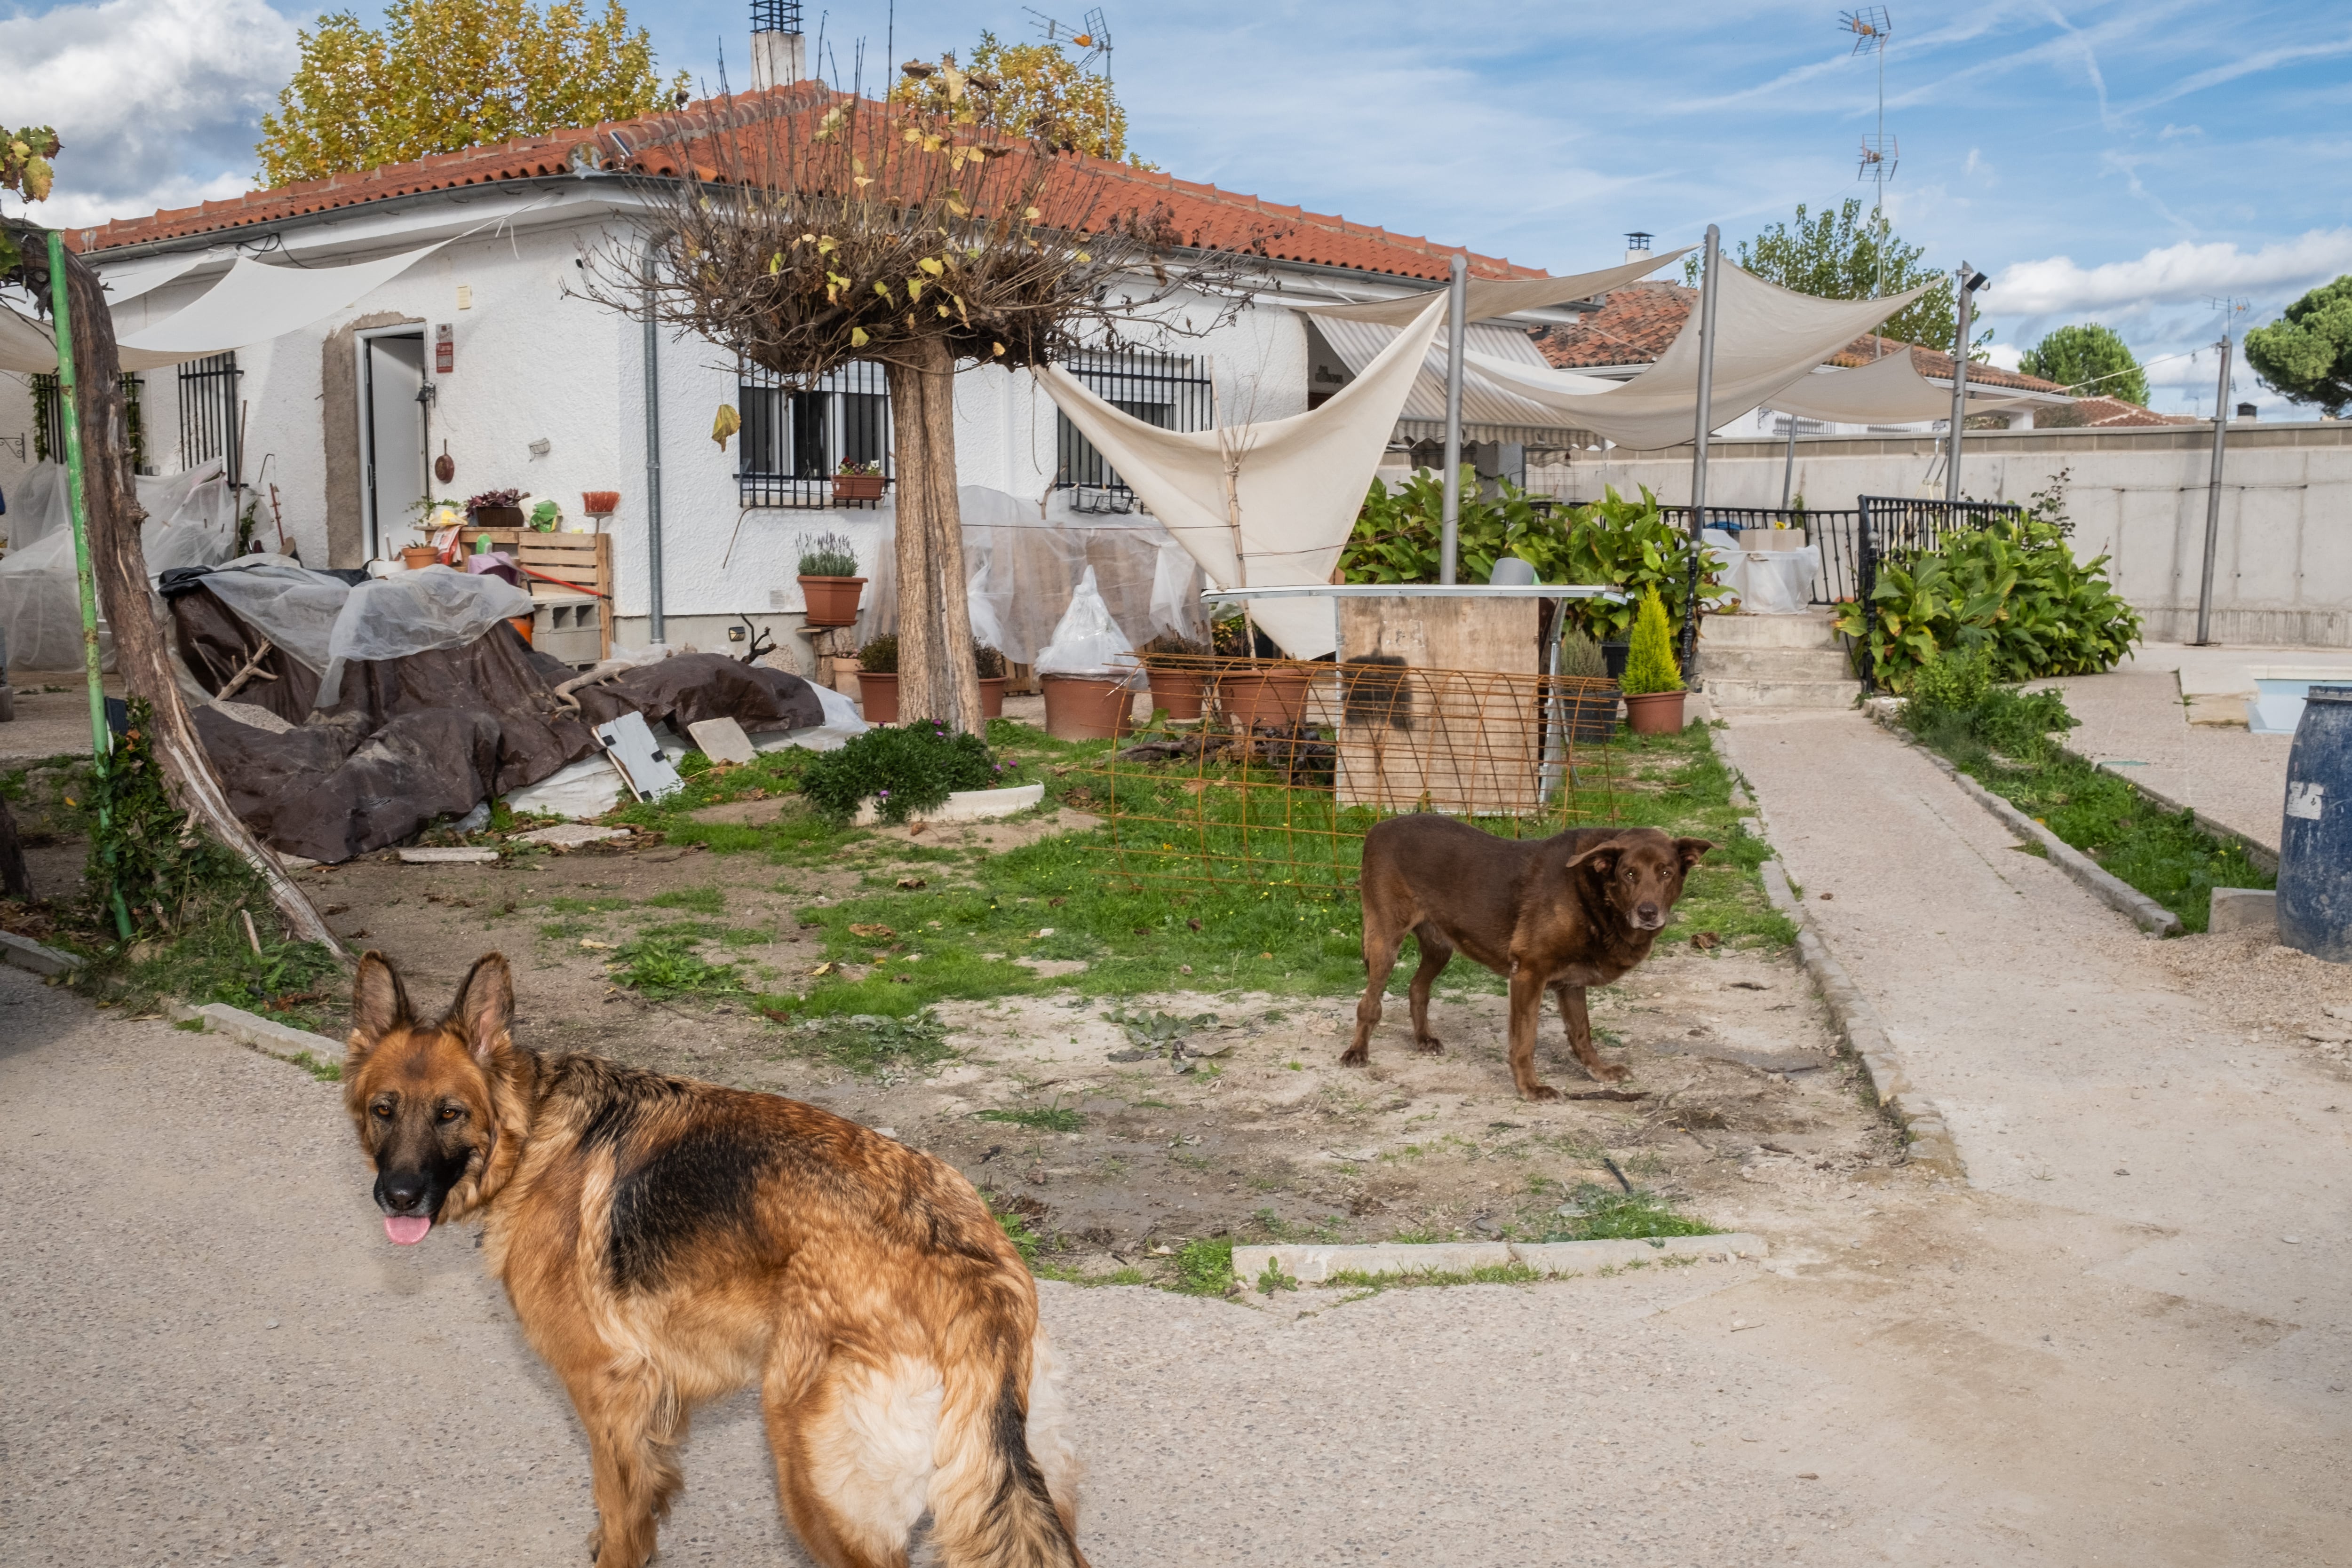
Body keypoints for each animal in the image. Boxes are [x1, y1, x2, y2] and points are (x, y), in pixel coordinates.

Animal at [343, 950, 1091, 1568]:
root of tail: (976, 1276)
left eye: (449, 1113)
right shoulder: (652, 1396)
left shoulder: (604, 1389)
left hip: (811, 1480)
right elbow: (642, 1499)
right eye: (384, 1110)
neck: (531, 1135)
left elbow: (618, 1511)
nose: (398, 1197)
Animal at [1345, 823, 1712, 1105]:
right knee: (1369, 1002)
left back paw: (1424, 1039)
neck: (1595, 893)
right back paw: (1357, 1052)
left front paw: (1599, 1071)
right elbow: (1525, 1041)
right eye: (1629, 874)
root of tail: (1379, 827)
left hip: (1440, 945)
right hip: (1385, 941)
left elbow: (1582, 1034)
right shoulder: (1528, 973)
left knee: (1417, 988)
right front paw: (1531, 1088)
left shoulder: (1571, 985)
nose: (1648, 913)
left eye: (1666, 873)